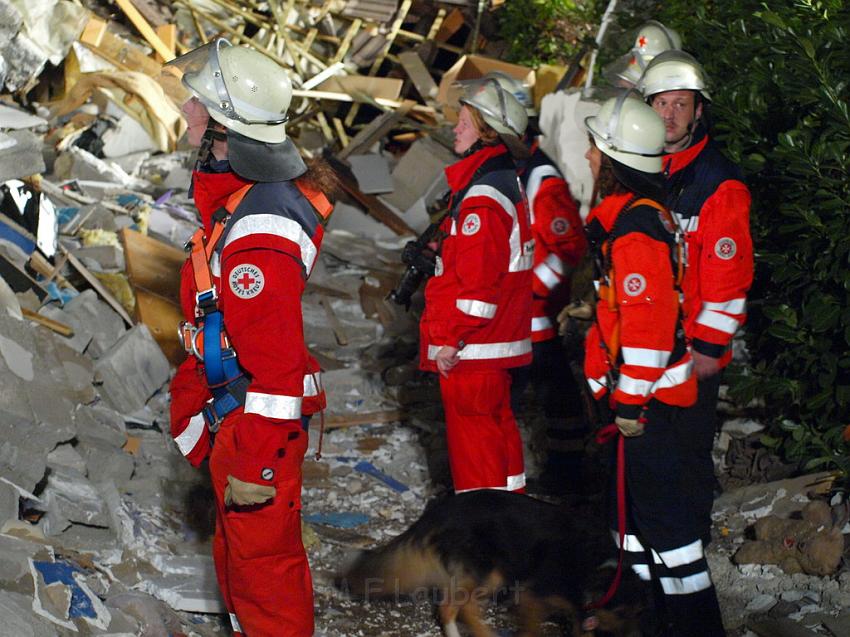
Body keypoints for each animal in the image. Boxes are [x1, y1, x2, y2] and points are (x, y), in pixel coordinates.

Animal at [334, 490, 640, 632]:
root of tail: (438, 512)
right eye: (623, 613)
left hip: (494, 573)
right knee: (450, 609)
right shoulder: (531, 597)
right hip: (483, 570)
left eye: (634, 614)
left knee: (466, 607)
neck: (597, 568)